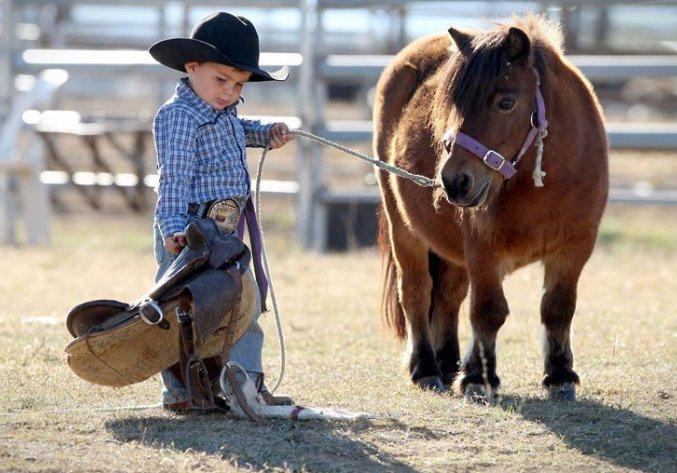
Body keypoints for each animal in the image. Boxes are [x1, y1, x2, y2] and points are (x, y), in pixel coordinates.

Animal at [374, 15, 608, 398]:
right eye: (453, 104)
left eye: (506, 102)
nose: (454, 181)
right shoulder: (483, 250)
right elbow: (488, 310)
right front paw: (479, 378)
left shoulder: (575, 247)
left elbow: (558, 308)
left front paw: (560, 375)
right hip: (403, 227)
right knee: (416, 291)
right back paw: (427, 368)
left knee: (449, 295)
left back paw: (448, 362)